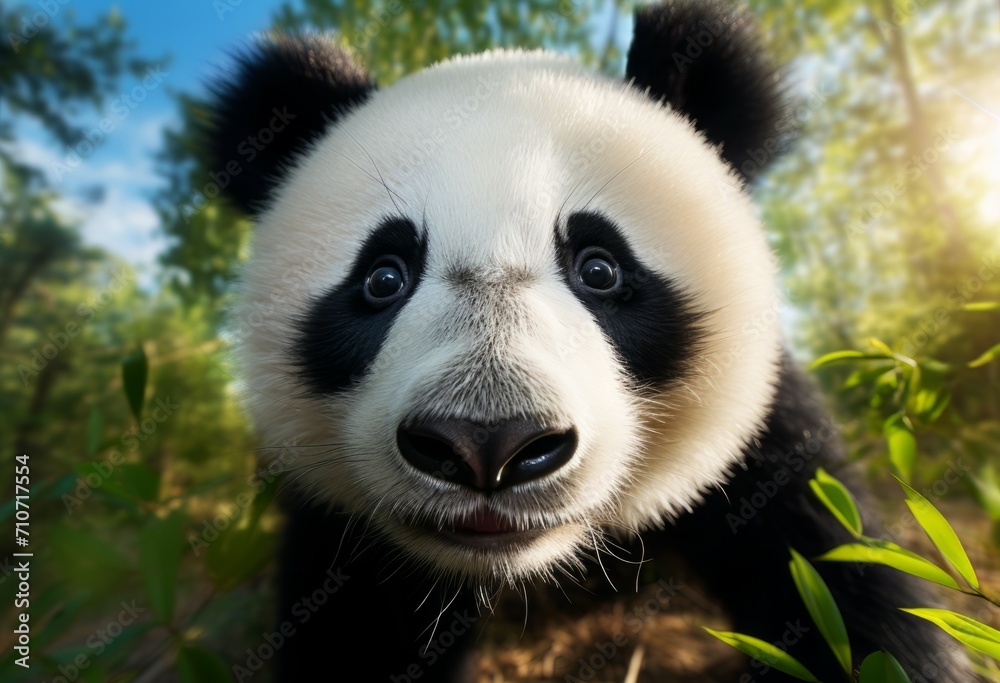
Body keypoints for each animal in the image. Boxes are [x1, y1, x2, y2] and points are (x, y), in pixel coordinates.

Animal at [204, 2, 968, 681]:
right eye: (383, 278)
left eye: (600, 268)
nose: (488, 443)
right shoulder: (345, 525)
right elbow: (356, 633)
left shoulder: (766, 449)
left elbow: (843, 589)